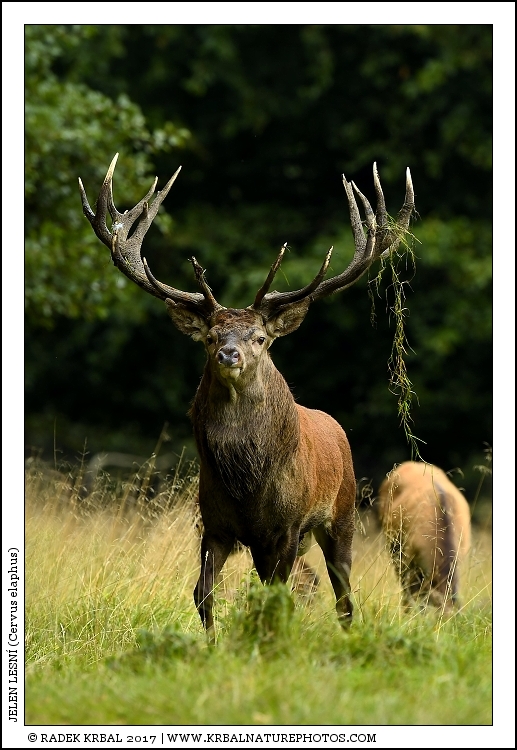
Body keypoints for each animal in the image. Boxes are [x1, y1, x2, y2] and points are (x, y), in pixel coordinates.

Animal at [79, 154, 414, 640]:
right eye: (210, 336)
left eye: (259, 337)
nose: (228, 353)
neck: (245, 483)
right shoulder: (215, 523)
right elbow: (203, 593)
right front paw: (214, 644)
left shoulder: (286, 526)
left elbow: (277, 596)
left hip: (344, 513)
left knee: (344, 596)